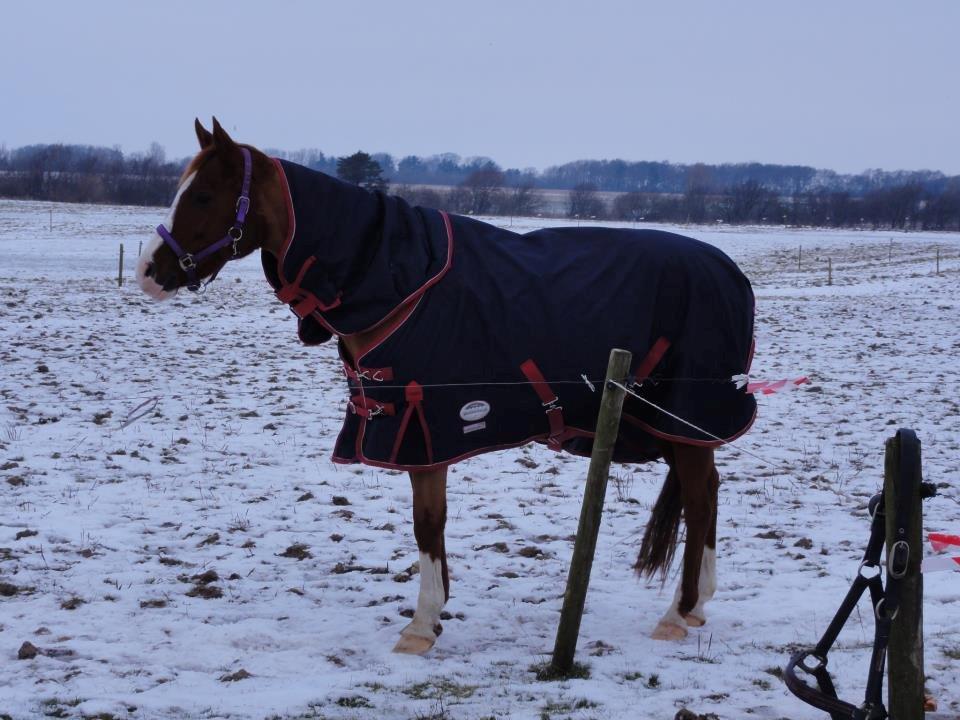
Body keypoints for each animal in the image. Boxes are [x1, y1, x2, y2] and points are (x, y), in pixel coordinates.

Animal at [135, 121, 752, 656]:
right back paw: (696, 606)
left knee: (700, 500)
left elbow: (427, 524)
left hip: (687, 417)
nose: (148, 272)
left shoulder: (422, 429)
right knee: (706, 493)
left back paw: (678, 614)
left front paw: (422, 624)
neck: (395, 280)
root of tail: (730, 272)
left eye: (204, 196)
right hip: (669, 425)